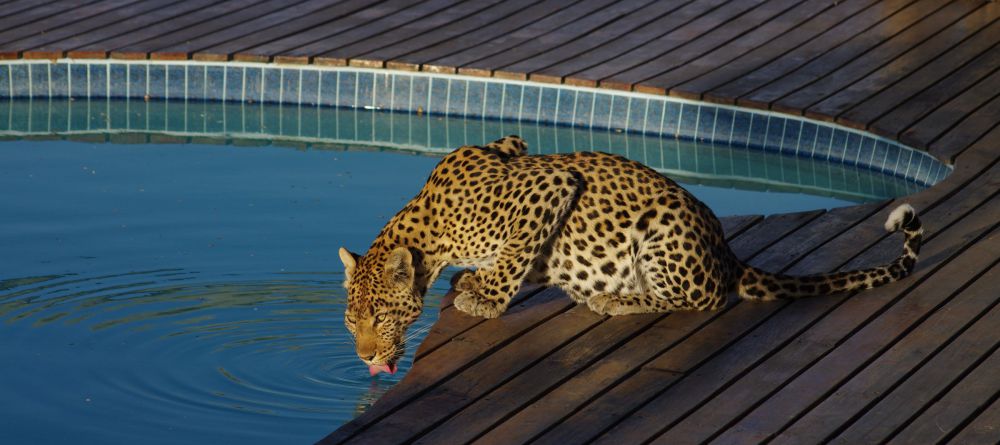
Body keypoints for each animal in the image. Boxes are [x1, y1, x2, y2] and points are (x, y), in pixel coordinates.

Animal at [338, 135, 923, 375]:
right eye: (351, 322)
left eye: (379, 318)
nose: (365, 357)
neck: (431, 233)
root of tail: (727, 255)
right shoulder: (514, 145)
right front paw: (476, 285)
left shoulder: (547, 184)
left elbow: (517, 249)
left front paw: (485, 297)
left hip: (664, 229)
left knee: (703, 300)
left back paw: (619, 299)